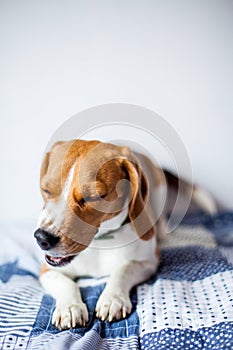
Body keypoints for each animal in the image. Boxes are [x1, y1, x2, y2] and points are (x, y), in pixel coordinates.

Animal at [33, 139, 216, 328]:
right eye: (46, 190)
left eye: (93, 197)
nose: (42, 238)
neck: (100, 241)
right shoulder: (47, 270)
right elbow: (65, 283)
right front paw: (69, 306)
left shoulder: (148, 262)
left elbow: (123, 270)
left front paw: (113, 297)